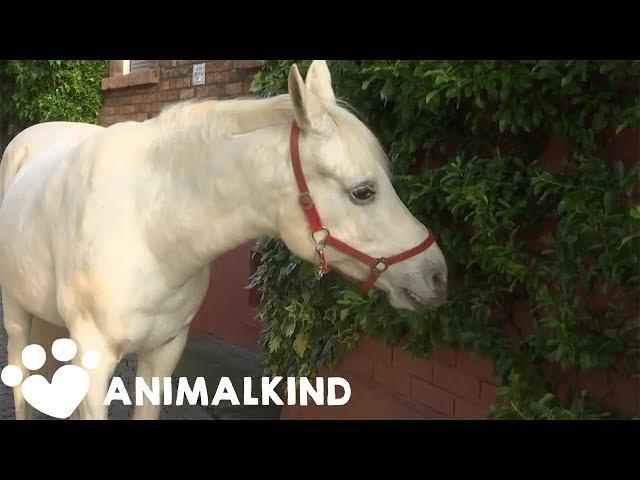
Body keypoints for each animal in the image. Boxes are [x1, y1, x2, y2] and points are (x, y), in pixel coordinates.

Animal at [0, 61, 448, 420]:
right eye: (363, 192)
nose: (437, 276)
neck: (147, 227)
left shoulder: (164, 353)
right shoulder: (94, 360)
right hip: (16, 313)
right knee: (22, 382)